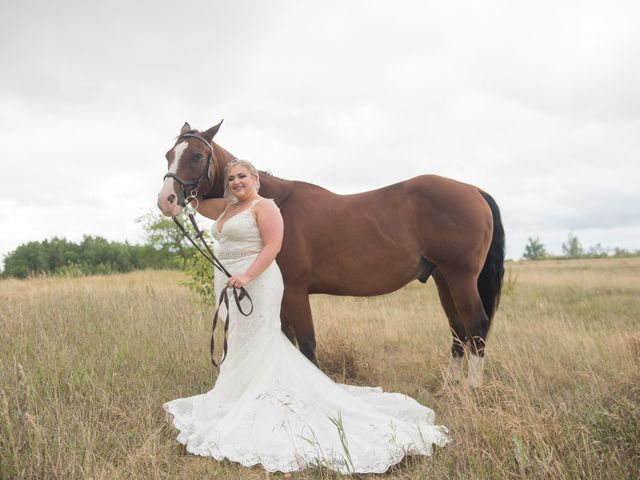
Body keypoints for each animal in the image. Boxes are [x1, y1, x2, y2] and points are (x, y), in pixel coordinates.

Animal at [156, 122, 504, 388]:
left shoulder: (295, 292)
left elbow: (307, 345)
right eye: (168, 155)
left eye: (197, 155)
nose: (166, 201)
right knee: (458, 329)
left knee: (475, 324)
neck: (276, 206)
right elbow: (288, 342)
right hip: (443, 278)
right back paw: (449, 387)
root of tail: (473, 190)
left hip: (460, 276)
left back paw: (472, 388)